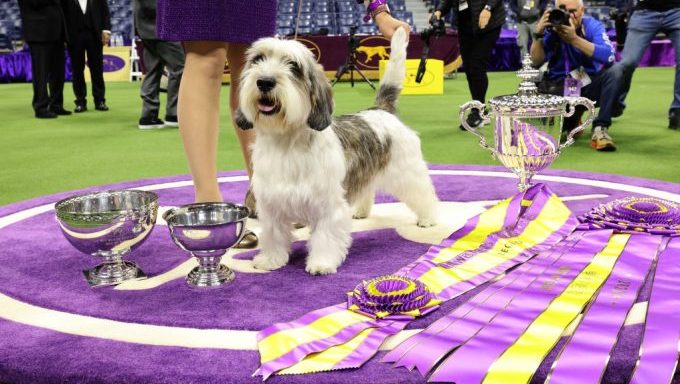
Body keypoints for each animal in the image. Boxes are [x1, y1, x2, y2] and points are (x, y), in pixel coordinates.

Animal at [236, 27, 438, 276]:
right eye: (258, 60)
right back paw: (361, 211)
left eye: (293, 66)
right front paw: (271, 260)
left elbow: (325, 237)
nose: (264, 81)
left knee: (424, 194)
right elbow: (274, 236)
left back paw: (428, 218)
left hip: (408, 172)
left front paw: (321, 263)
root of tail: (380, 109)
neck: (287, 143)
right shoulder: (272, 205)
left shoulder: (328, 206)